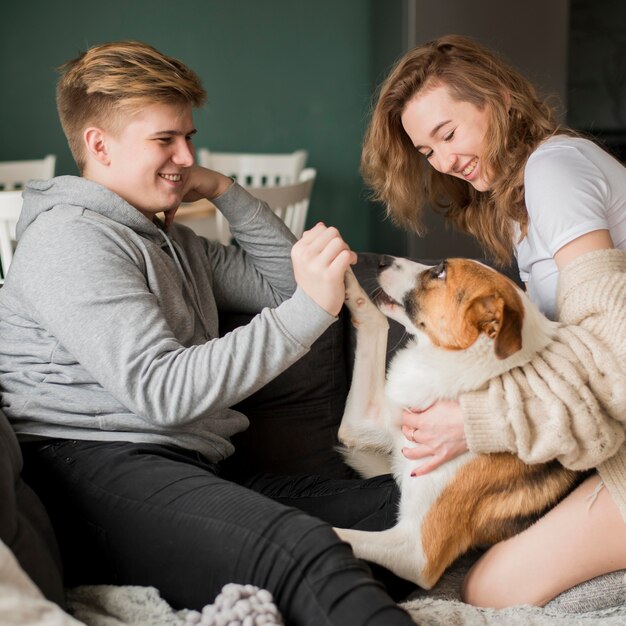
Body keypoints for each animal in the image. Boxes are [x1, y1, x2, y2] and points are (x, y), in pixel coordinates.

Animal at [334, 258, 576, 588]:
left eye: (440, 272)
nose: (382, 260)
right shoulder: (363, 421)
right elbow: (375, 322)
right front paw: (341, 274)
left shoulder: (417, 553)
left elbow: (337, 534)